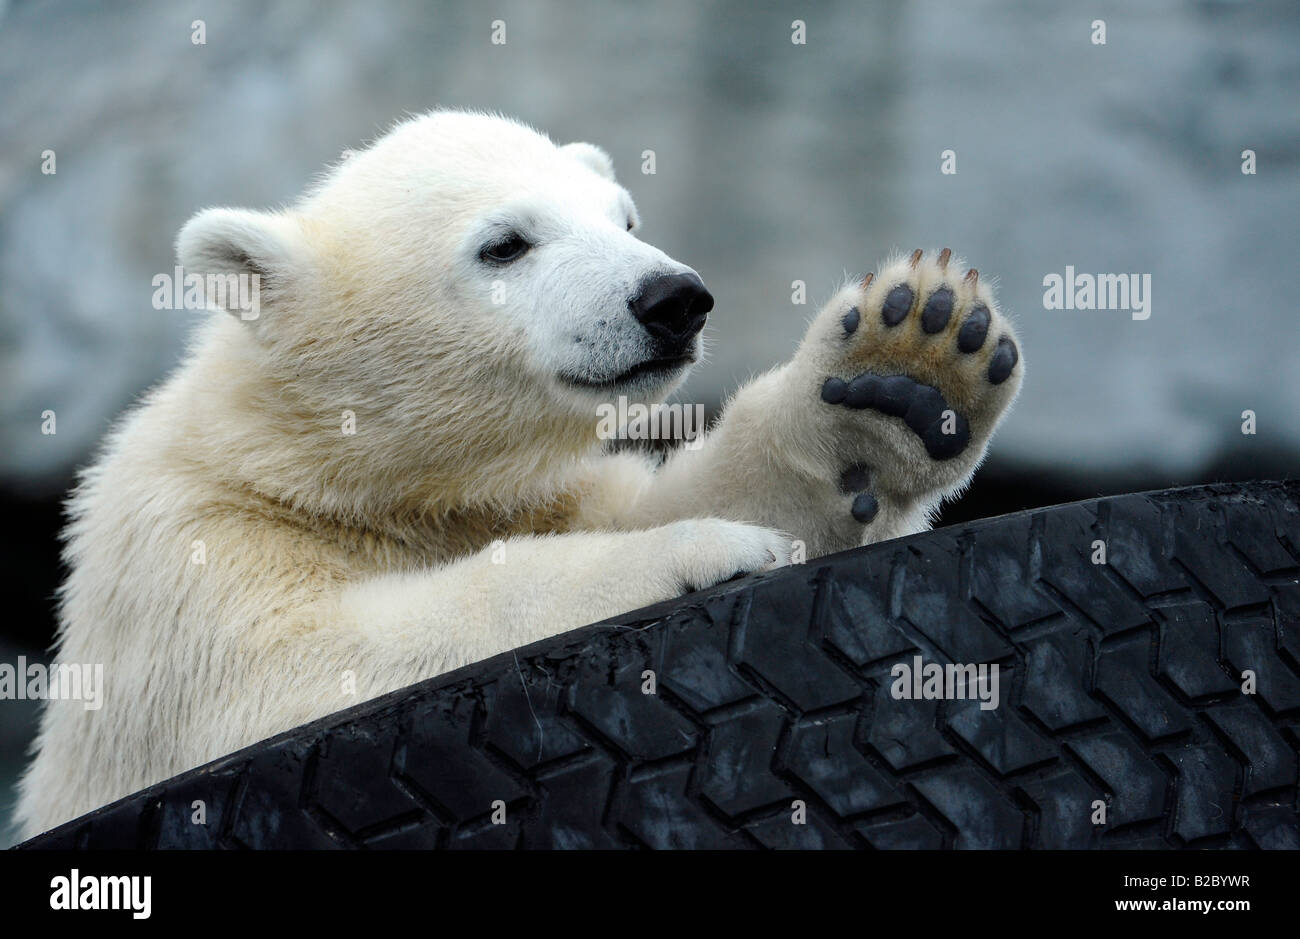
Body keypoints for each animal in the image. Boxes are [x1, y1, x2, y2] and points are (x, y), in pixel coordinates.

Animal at [15, 109, 1019, 832]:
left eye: (624, 218)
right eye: (506, 243)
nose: (673, 297)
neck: (327, 467)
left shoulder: (535, 491)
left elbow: (677, 491)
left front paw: (911, 366)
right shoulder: (189, 561)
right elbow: (300, 675)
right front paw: (702, 552)